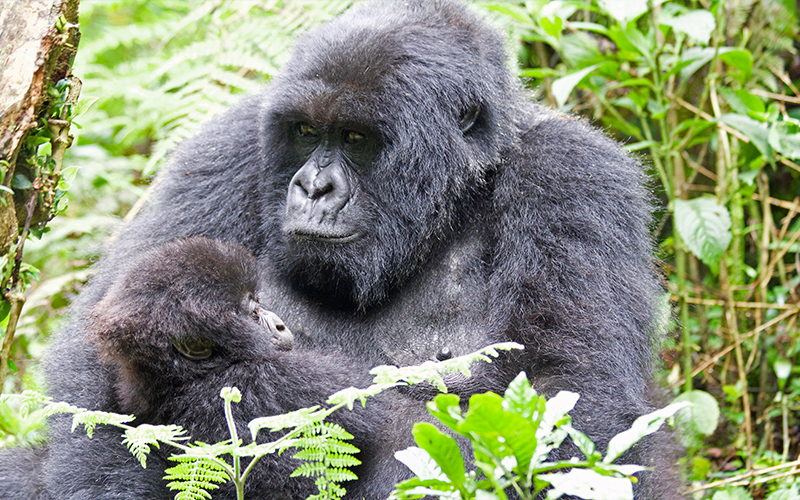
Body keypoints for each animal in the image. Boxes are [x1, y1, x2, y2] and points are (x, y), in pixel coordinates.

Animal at [1, 0, 680, 498]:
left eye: (356, 138)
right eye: (305, 132)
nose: (313, 187)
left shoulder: (574, 175)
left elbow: (567, 410)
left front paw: (251, 393)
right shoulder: (225, 146)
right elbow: (96, 389)